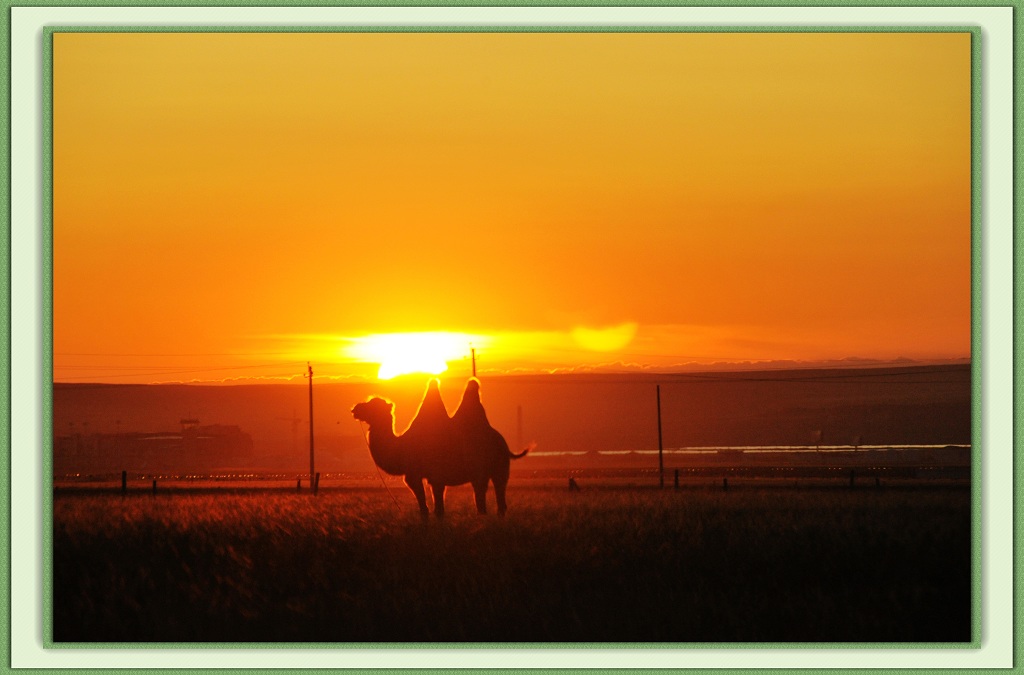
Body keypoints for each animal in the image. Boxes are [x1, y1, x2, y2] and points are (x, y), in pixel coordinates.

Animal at [350, 381, 528, 518]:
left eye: (373, 405)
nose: (355, 409)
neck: (402, 448)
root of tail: (503, 444)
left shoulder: (417, 475)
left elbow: (426, 509)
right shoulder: (434, 479)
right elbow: (438, 509)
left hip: (482, 469)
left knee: (481, 498)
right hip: (498, 470)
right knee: (498, 498)